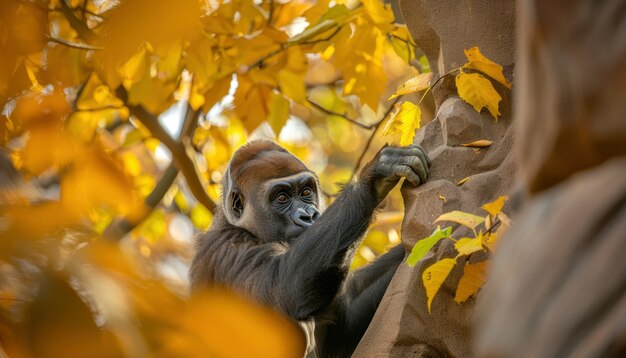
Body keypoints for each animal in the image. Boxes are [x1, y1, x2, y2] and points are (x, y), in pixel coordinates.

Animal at [189, 141, 428, 358]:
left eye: (306, 192)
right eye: (282, 197)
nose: (309, 215)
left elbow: (339, 337)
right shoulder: (229, 249)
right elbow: (285, 288)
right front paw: (373, 179)